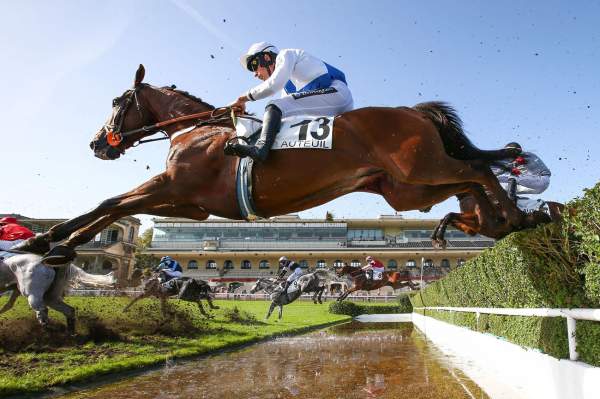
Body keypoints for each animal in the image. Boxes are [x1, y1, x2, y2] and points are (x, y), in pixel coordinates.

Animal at [18, 64, 536, 264]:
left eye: (117, 100)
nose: (97, 144)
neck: (194, 129)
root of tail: (415, 111)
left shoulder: (175, 186)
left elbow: (111, 201)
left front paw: (48, 238)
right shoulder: (191, 206)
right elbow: (118, 207)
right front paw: (57, 243)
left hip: (419, 168)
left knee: (478, 172)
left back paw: (511, 217)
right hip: (406, 187)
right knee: (467, 183)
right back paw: (489, 223)